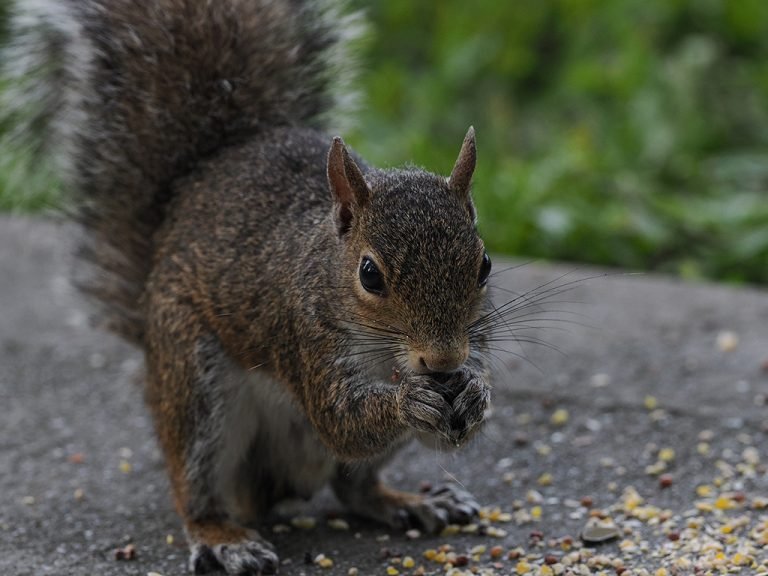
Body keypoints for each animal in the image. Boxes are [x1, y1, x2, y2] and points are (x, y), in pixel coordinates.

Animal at [8, 0, 493, 573]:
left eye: (484, 265)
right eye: (369, 274)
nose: (443, 361)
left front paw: (476, 394)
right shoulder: (304, 337)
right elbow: (340, 421)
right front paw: (408, 402)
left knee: (354, 487)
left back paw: (408, 501)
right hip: (193, 381)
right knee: (197, 489)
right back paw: (223, 537)